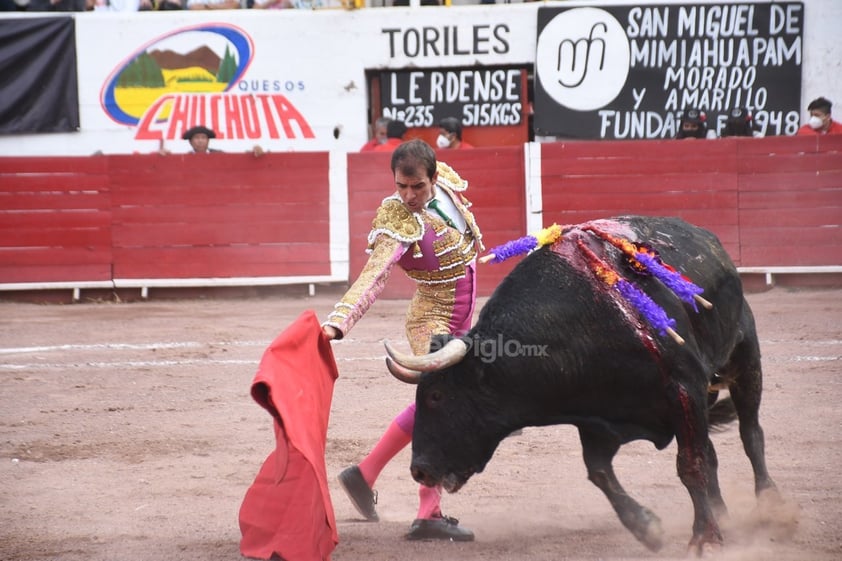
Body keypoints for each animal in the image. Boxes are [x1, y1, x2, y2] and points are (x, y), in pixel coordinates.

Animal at [384, 217, 776, 552]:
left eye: (437, 396)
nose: (419, 470)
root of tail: (705, 235)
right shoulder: (596, 414)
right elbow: (600, 472)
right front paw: (648, 528)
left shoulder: (685, 388)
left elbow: (691, 464)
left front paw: (705, 539)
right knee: (713, 452)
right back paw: (724, 515)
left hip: (745, 354)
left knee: (751, 433)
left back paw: (770, 507)